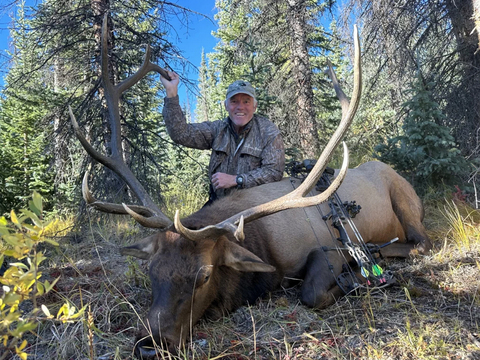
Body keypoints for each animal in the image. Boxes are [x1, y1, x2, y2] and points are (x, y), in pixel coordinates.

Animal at [69, 16, 434, 358]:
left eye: (203, 276)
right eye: (151, 271)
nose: (149, 345)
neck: (262, 247)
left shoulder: (330, 248)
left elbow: (312, 292)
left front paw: (355, 280)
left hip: (404, 201)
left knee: (421, 243)